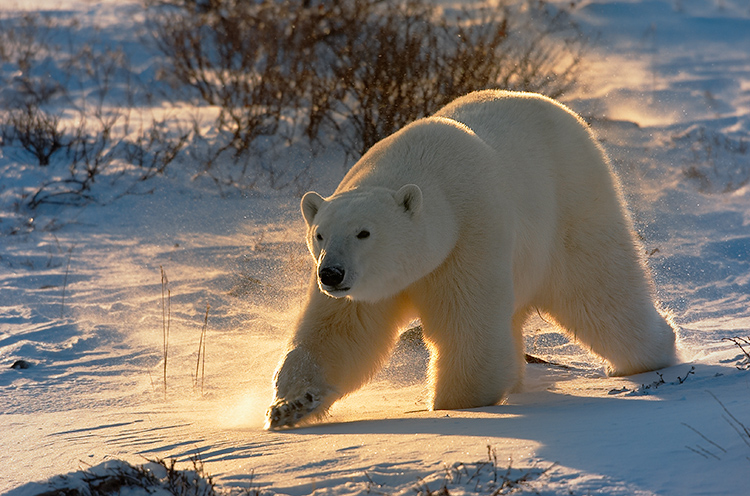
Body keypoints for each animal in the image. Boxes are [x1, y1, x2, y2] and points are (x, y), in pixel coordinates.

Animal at [266, 90, 680, 430]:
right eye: (320, 234)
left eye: (364, 232)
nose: (331, 273)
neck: (419, 166)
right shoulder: (370, 287)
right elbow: (339, 333)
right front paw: (290, 406)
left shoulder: (467, 237)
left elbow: (467, 329)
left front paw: (456, 404)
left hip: (572, 205)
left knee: (602, 293)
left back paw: (655, 349)